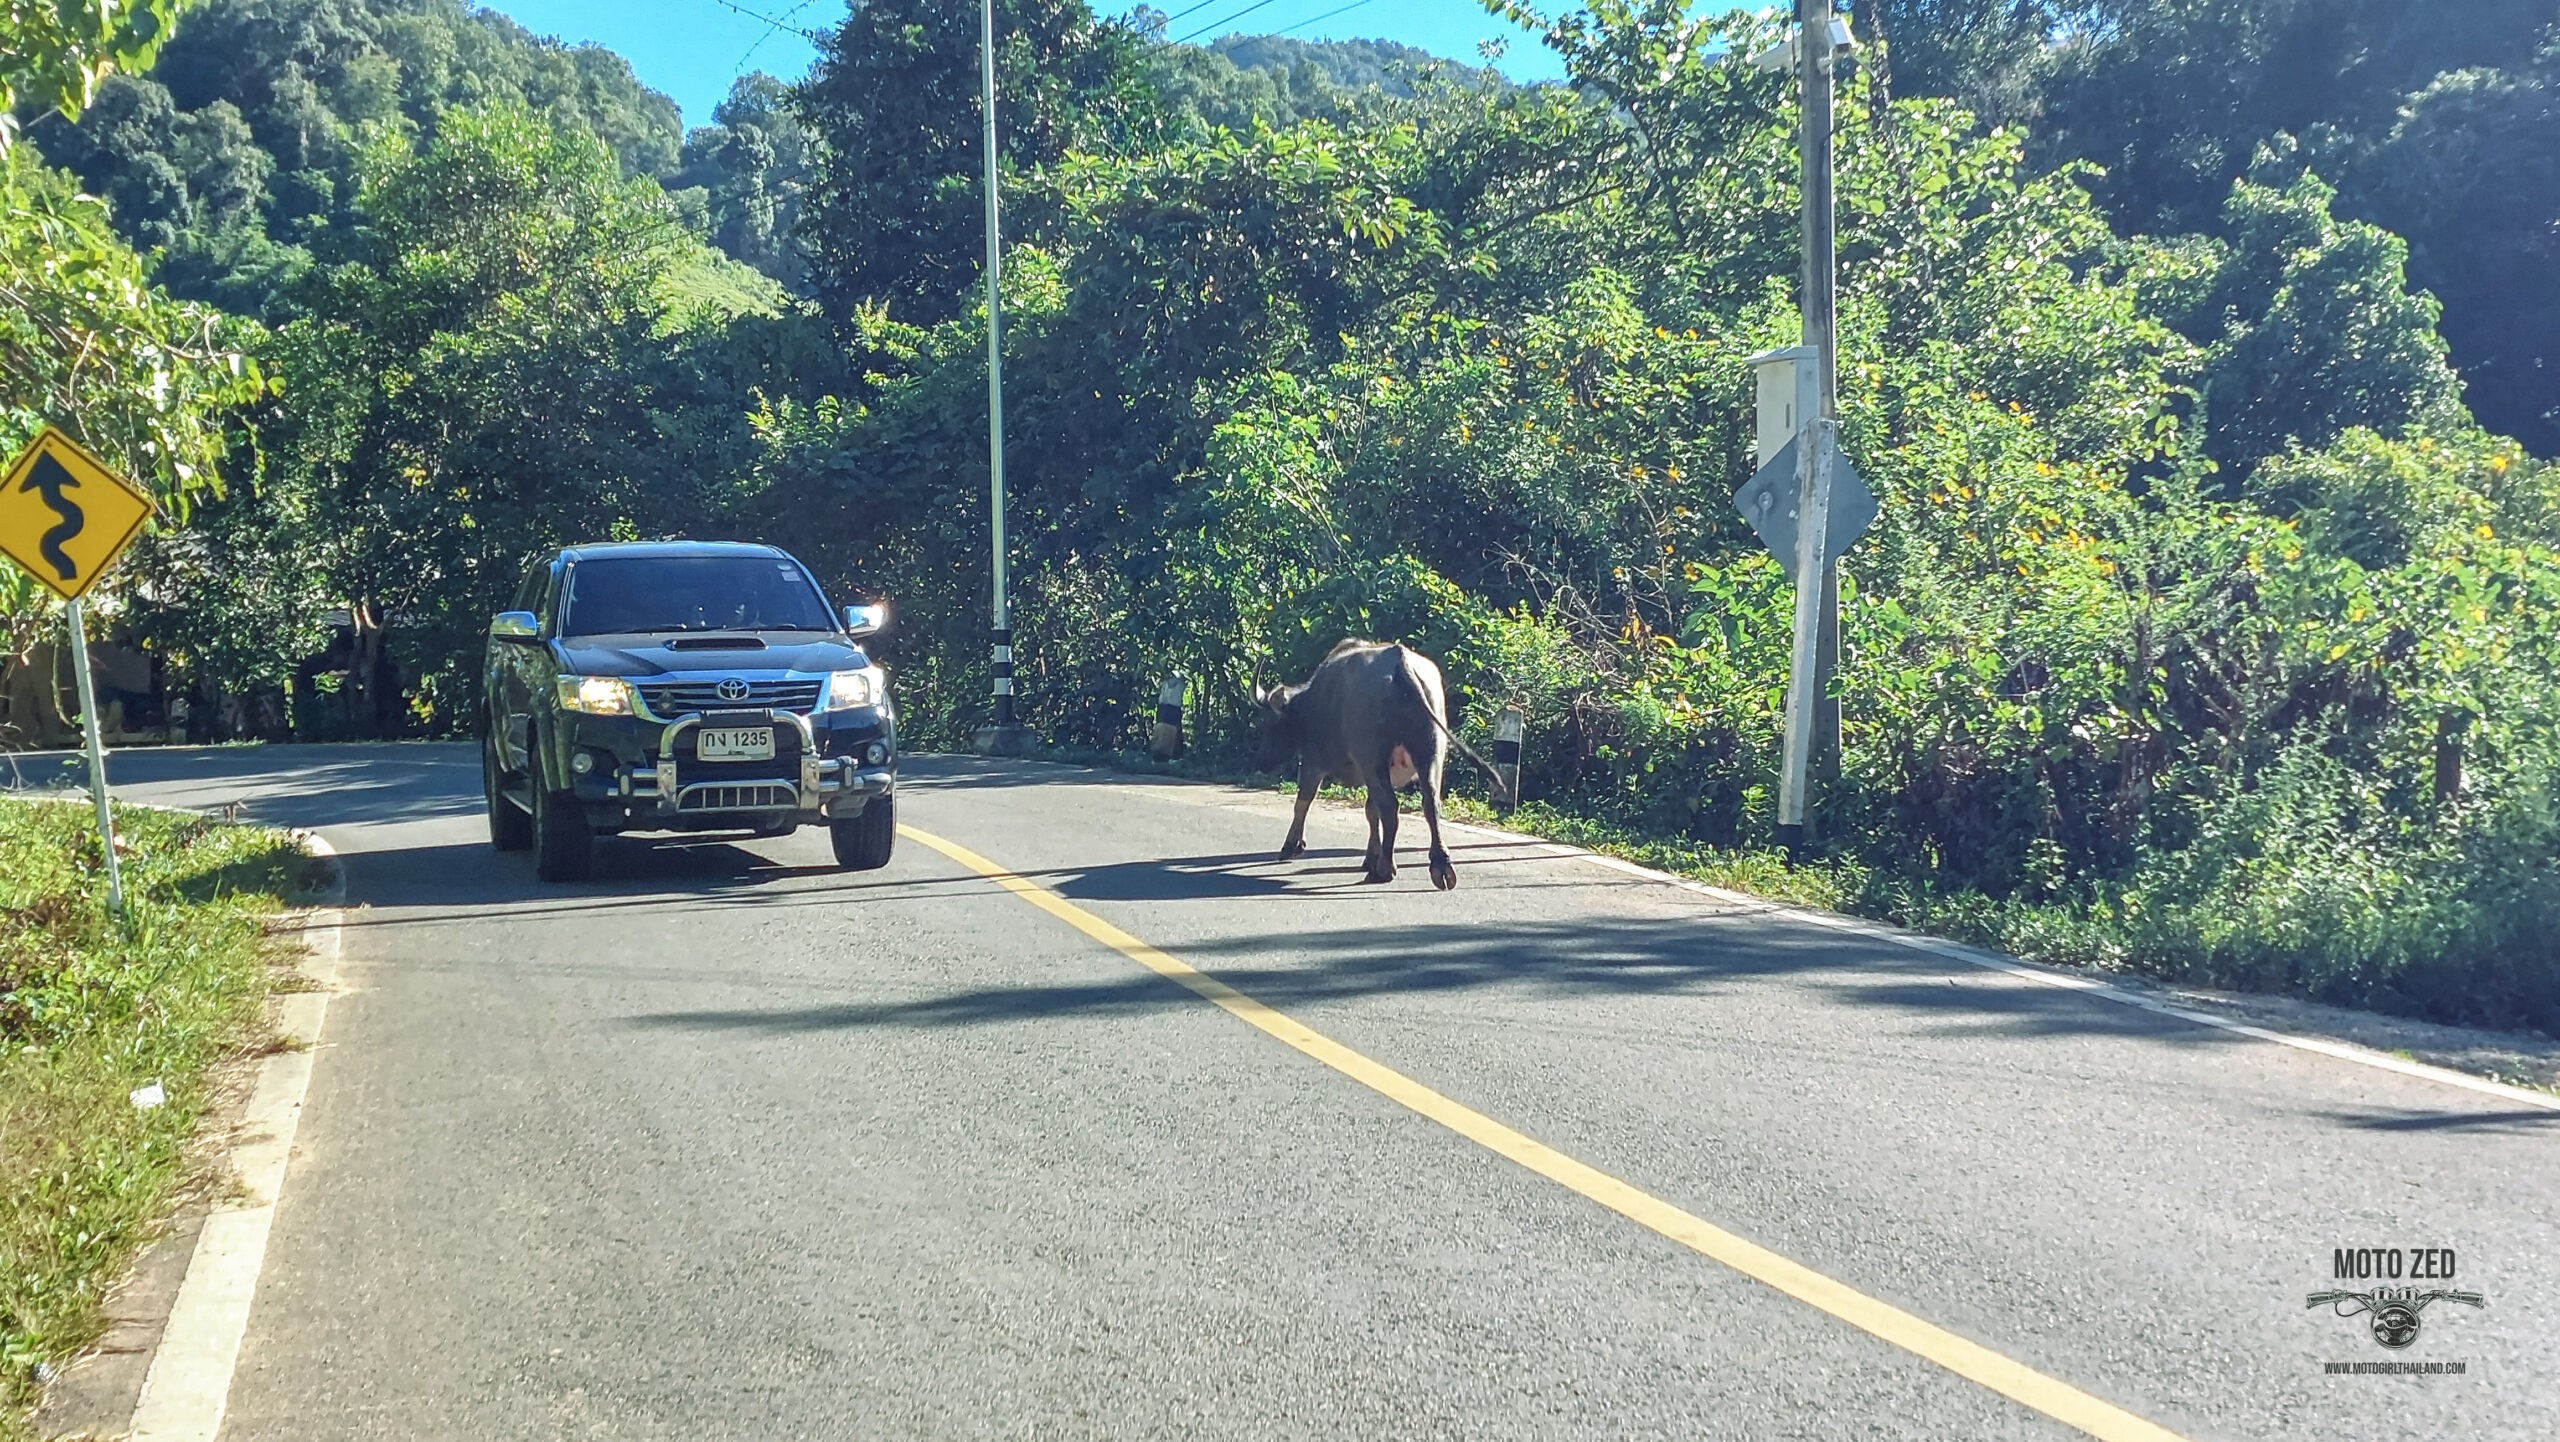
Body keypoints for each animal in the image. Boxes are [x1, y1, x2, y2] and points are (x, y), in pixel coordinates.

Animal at [1254, 640, 1505, 891]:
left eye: (1271, 723)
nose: (1261, 759)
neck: (1311, 702)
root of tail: (1400, 661)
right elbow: (1370, 810)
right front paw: (1371, 856)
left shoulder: (1313, 761)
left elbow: (1303, 802)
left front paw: (1291, 846)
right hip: (1431, 752)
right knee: (1429, 803)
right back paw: (1440, 866)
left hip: (1373, 757)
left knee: (1390, 808)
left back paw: (1383, 870)